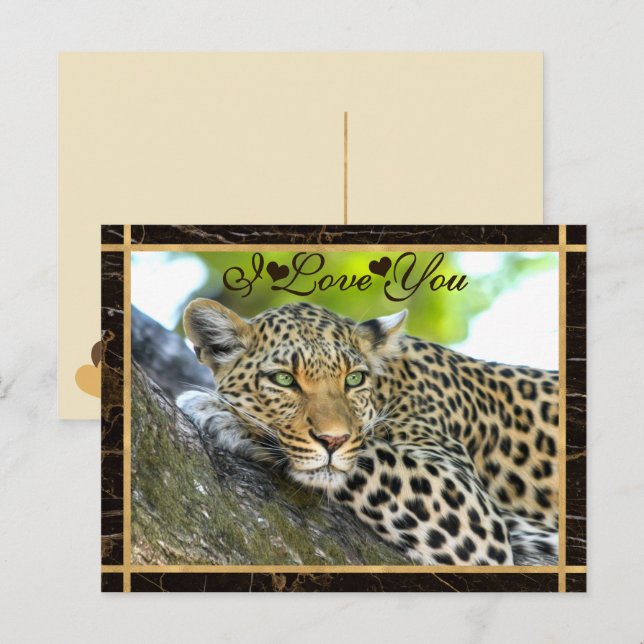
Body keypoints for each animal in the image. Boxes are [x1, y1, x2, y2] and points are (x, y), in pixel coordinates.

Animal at [177, 298, 559, 565]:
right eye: (284, 379)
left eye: (354, 379)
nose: (333, 440)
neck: (391, 384)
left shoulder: (469, 509)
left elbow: (367, 453)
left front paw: (222, 413)